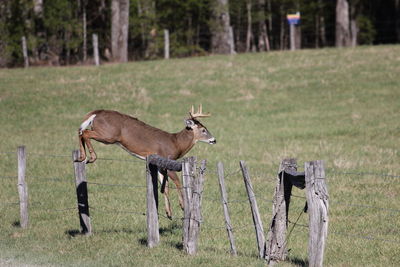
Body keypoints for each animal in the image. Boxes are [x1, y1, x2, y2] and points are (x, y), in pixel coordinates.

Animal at [77, 105, 216, 219]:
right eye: (203, 130)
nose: (214, 140)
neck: (176, 143)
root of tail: (96, 113)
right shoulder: (168, 160)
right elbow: (177, 182)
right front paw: (182, 205)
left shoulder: (160, 165)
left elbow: (165, 188)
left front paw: (169, 213)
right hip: (108, 135)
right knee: (85, 132)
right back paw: (91, 156)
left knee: (81, 132)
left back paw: (82, 157)